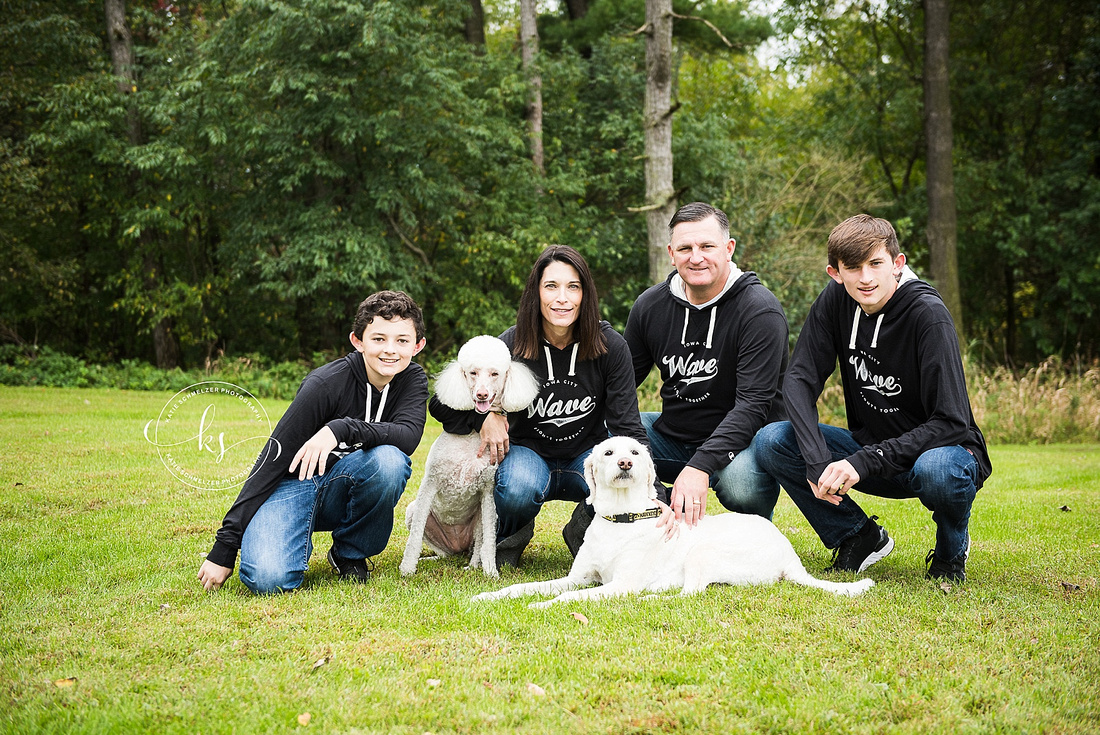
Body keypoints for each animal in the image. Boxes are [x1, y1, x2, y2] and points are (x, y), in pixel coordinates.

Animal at [475, 433, 875, 607]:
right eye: (608, 452)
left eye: (635, 452)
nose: (625, 463)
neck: (621, 518)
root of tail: (790, 559)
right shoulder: (578, 577)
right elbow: (523, 588)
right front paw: (490, 595)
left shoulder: (616, 584)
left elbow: (567, 599)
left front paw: (542, 606)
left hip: (702, 552)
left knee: (689, 594)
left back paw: (652, 597)